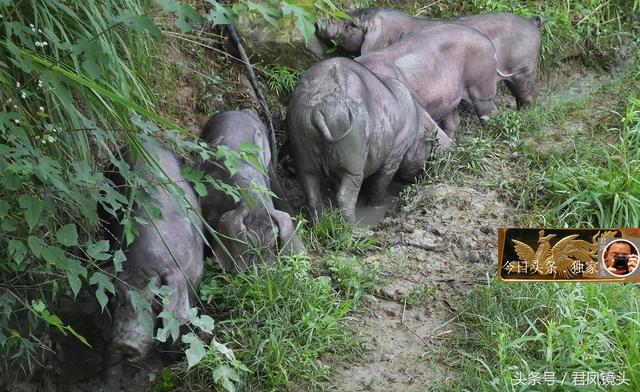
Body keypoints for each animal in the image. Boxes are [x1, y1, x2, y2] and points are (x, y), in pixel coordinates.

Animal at [288, 57, 452, 225]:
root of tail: (318, 111)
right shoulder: (396, 151)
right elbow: (382, 180)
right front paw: (380, 206)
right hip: (352, 147)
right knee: (345, 196)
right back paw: (354, 228)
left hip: (300, 136)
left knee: (310, 191)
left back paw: (318, 223)